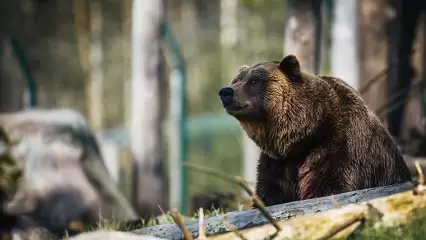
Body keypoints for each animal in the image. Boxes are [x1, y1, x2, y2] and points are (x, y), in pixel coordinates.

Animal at [218, 54, 412, 206]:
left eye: (254, 81)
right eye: (236, 80)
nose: (226, 92)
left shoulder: (340, 147)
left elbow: (329, 185)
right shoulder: (277, 163)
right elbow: (270, 193)